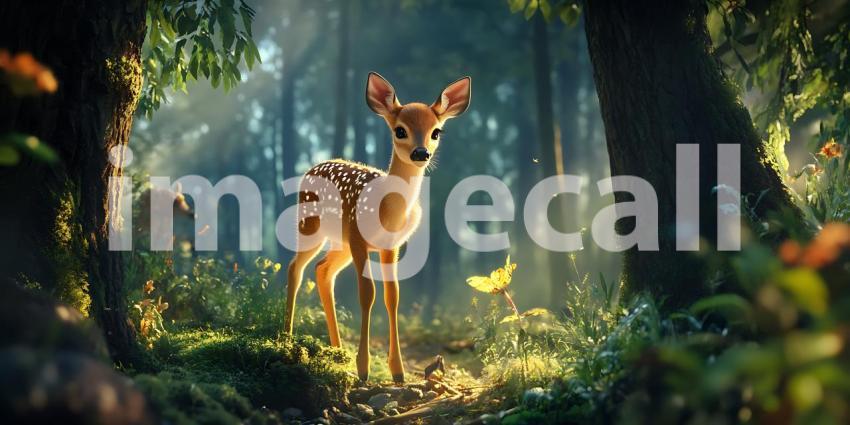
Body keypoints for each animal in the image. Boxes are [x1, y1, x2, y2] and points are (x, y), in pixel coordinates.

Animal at [283, 72, 471, 383]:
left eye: (436, 132)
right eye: (400, 130)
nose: (421, 153)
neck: (388, 211)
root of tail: (314, 167)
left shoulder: (390, 245)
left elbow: (392, 296)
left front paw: (398, 371)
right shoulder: (359, 239)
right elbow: (367, 294)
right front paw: (363, 369)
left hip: (341, 243)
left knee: (323, 270)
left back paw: (337, 352)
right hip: (311, 226)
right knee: (294, 268)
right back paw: (285, 339)